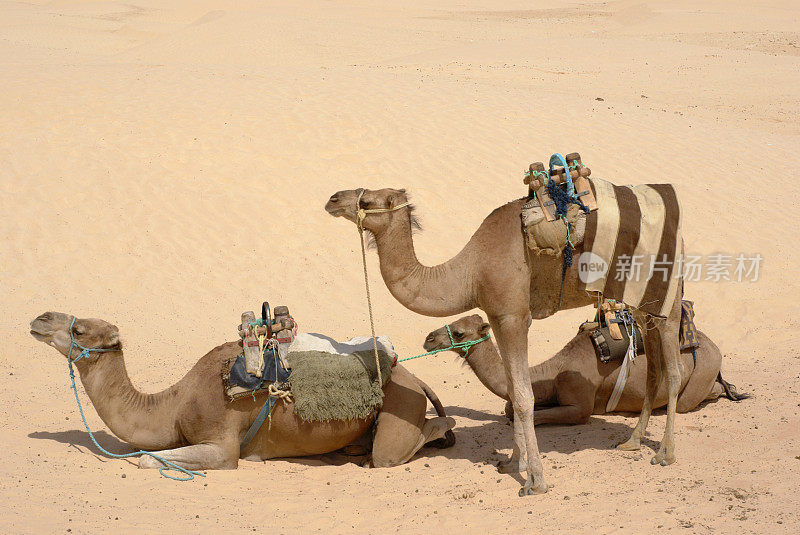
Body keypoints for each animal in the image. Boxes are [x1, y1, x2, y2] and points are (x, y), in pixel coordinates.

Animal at [28, 312, 456, 472]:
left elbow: (148, 460)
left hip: (401, 406)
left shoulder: (222, 446)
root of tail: (411, 375)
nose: (40, 318)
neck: (175, 404)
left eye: (79, 329)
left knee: (400, 447)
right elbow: (149, 454)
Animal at [328, 186, 684, 496]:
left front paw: (535, 482)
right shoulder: (497, 315)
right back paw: (633, 442)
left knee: (675, 368)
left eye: (368, 200)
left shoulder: (515, 316)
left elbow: (525, 398)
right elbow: (513, 391)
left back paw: (666, 453)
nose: (333, 198)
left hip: (665, 289)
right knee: (653, 369)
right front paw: (513, 463)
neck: (470, 271)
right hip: (640, 302)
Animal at [422, 316, 748, 426]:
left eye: (459, 332)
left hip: (702, 372)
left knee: (694, 398)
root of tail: (714, 347)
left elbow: (532, 415)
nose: (428, 338)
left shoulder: (579, 403)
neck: (551, 372)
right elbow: (511, 407)